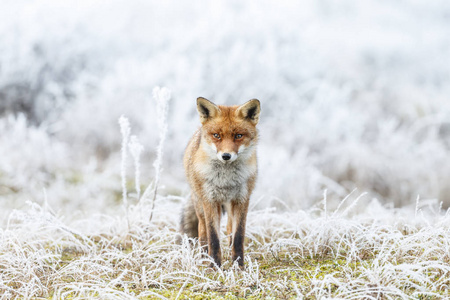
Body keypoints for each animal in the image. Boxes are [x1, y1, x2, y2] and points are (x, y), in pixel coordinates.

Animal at [181, 97, 260, 268]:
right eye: (217, 135)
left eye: (238, 135)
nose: (226, 156)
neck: (225, 180)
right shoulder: (210, 200)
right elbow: (213, 237)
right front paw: (215, 265)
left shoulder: (242, 200)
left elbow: (238, 236)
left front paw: (238, 265)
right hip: (200, 205)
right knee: (202, 232)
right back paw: (204, 257)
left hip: (230, 207)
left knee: (230, 228)